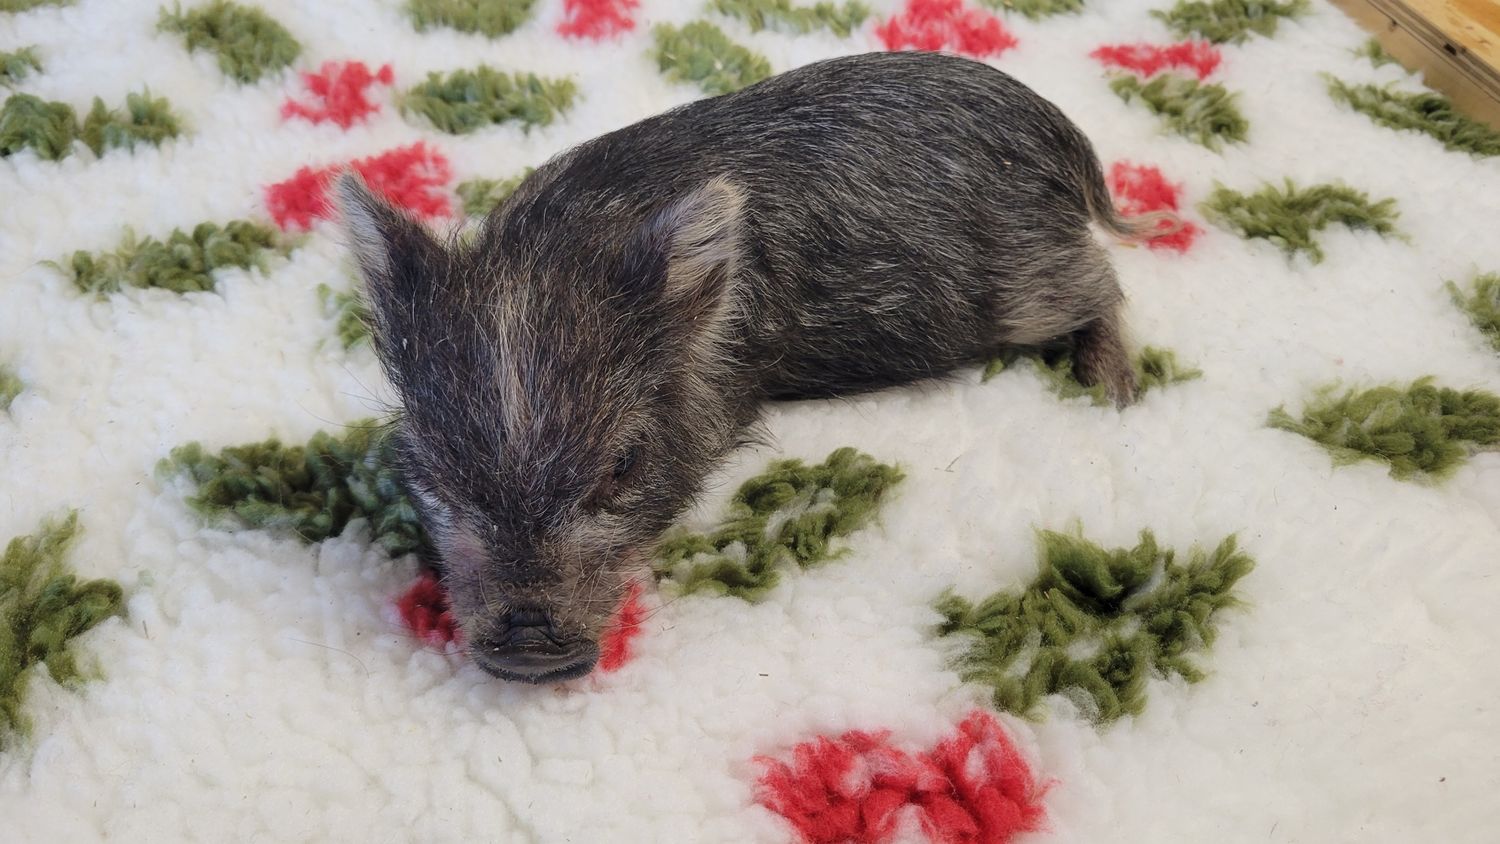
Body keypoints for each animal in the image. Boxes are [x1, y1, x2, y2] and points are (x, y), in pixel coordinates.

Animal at [337, 50, 1162, 683]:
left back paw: (1113, 392)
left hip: (1025, 284)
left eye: (625, 464)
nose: (528, 652)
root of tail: (1059, 133)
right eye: (429, 468)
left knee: (1104, 279)